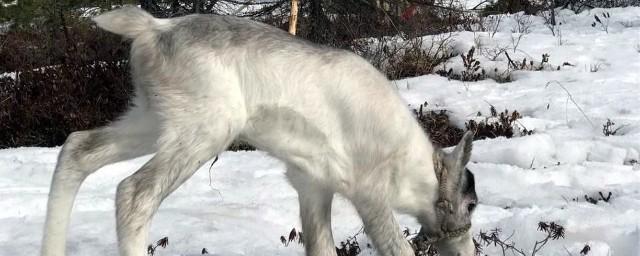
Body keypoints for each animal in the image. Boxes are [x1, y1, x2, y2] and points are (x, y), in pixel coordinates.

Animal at [41, 6, 480, 256]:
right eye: (472, 204)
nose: (466, 249)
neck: (417, 172)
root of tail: (152, 29)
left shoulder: (312, 187)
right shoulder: (369, 194)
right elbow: (397, 248)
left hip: (151, 118)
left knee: (77, 147)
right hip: (206, 129)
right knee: (134, 194)